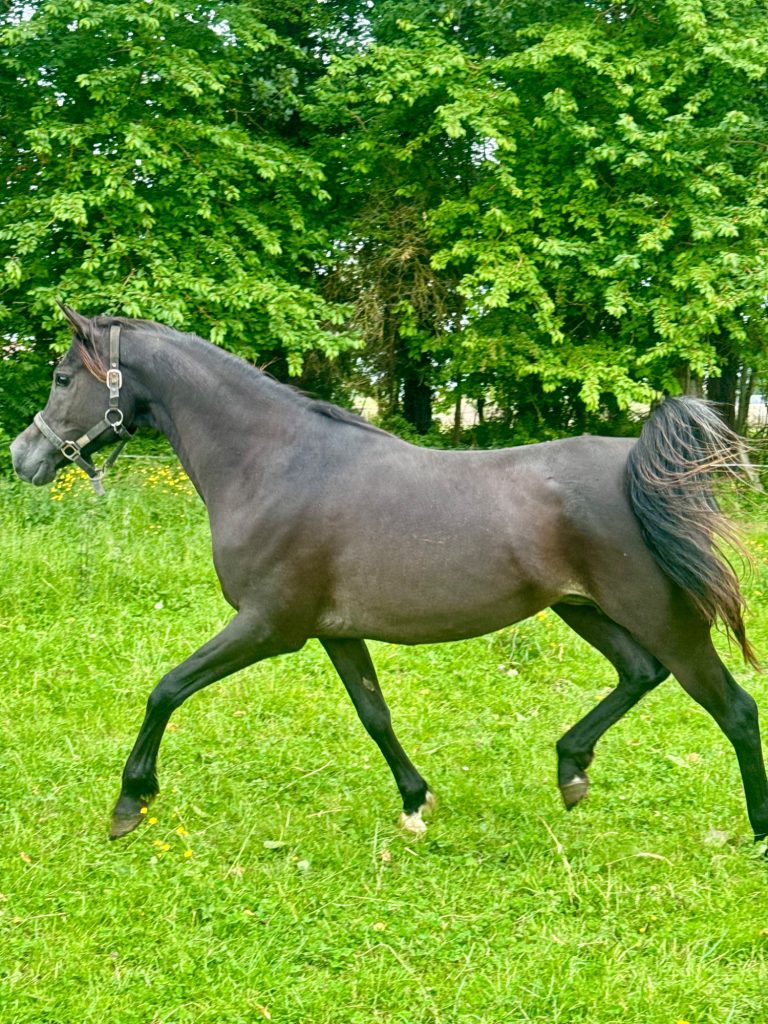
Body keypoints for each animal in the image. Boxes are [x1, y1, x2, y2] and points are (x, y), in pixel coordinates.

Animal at [10, 304, 768, 845]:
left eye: (62, 377)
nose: (24, 456)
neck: (273, 463)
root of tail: (637, 464)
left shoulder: (269, 626)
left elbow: (165, 690)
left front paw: (128, 803)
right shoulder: (334, 632)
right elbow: (375, 714)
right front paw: (415, 801)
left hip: (660, 615)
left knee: (733, 706)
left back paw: (753, 832)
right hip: (582, 608)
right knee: (640, 673)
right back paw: (570, 769)